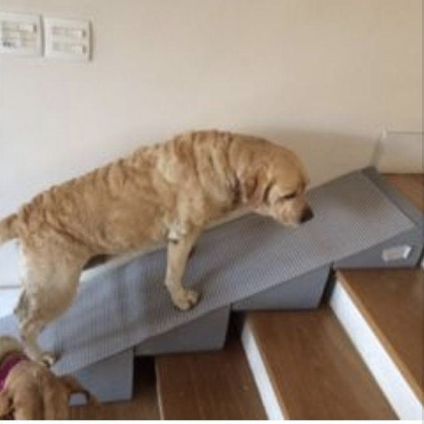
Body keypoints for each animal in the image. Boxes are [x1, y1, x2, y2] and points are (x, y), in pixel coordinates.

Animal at [0, 129, 312, 364]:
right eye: (289, 194)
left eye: (306, 187)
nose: (309, 216)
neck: (223, 162)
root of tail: (24, 214)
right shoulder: (181, 233)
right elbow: (174, 273)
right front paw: (181, 298)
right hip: (58, 286)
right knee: (26, 326)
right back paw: (39, 357)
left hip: (42, 283)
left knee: (21, 310)